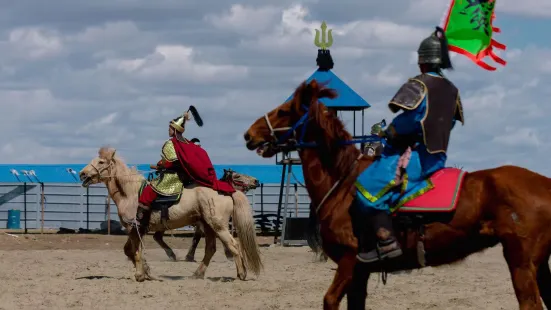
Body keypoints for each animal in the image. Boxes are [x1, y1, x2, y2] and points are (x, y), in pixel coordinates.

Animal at [79, 147, 266, 282]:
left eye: (101, 161)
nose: (82, 173)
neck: (129, 193)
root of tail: (226, 191)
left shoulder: (134, 228)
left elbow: (135, 251)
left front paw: (140, 275)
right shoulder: (136, 229)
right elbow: (129, 251)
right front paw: (146, 271)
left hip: (218, 225)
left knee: (233, 245)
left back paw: (241, 274)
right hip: (208, 226)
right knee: (211, 248)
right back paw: (197, 274)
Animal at [245, 80, 551, 310]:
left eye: (284, 111)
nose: (249, 135)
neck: (343, 182)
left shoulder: (349, 262)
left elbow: (330, 301)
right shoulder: (360, 273)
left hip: (521, 263)